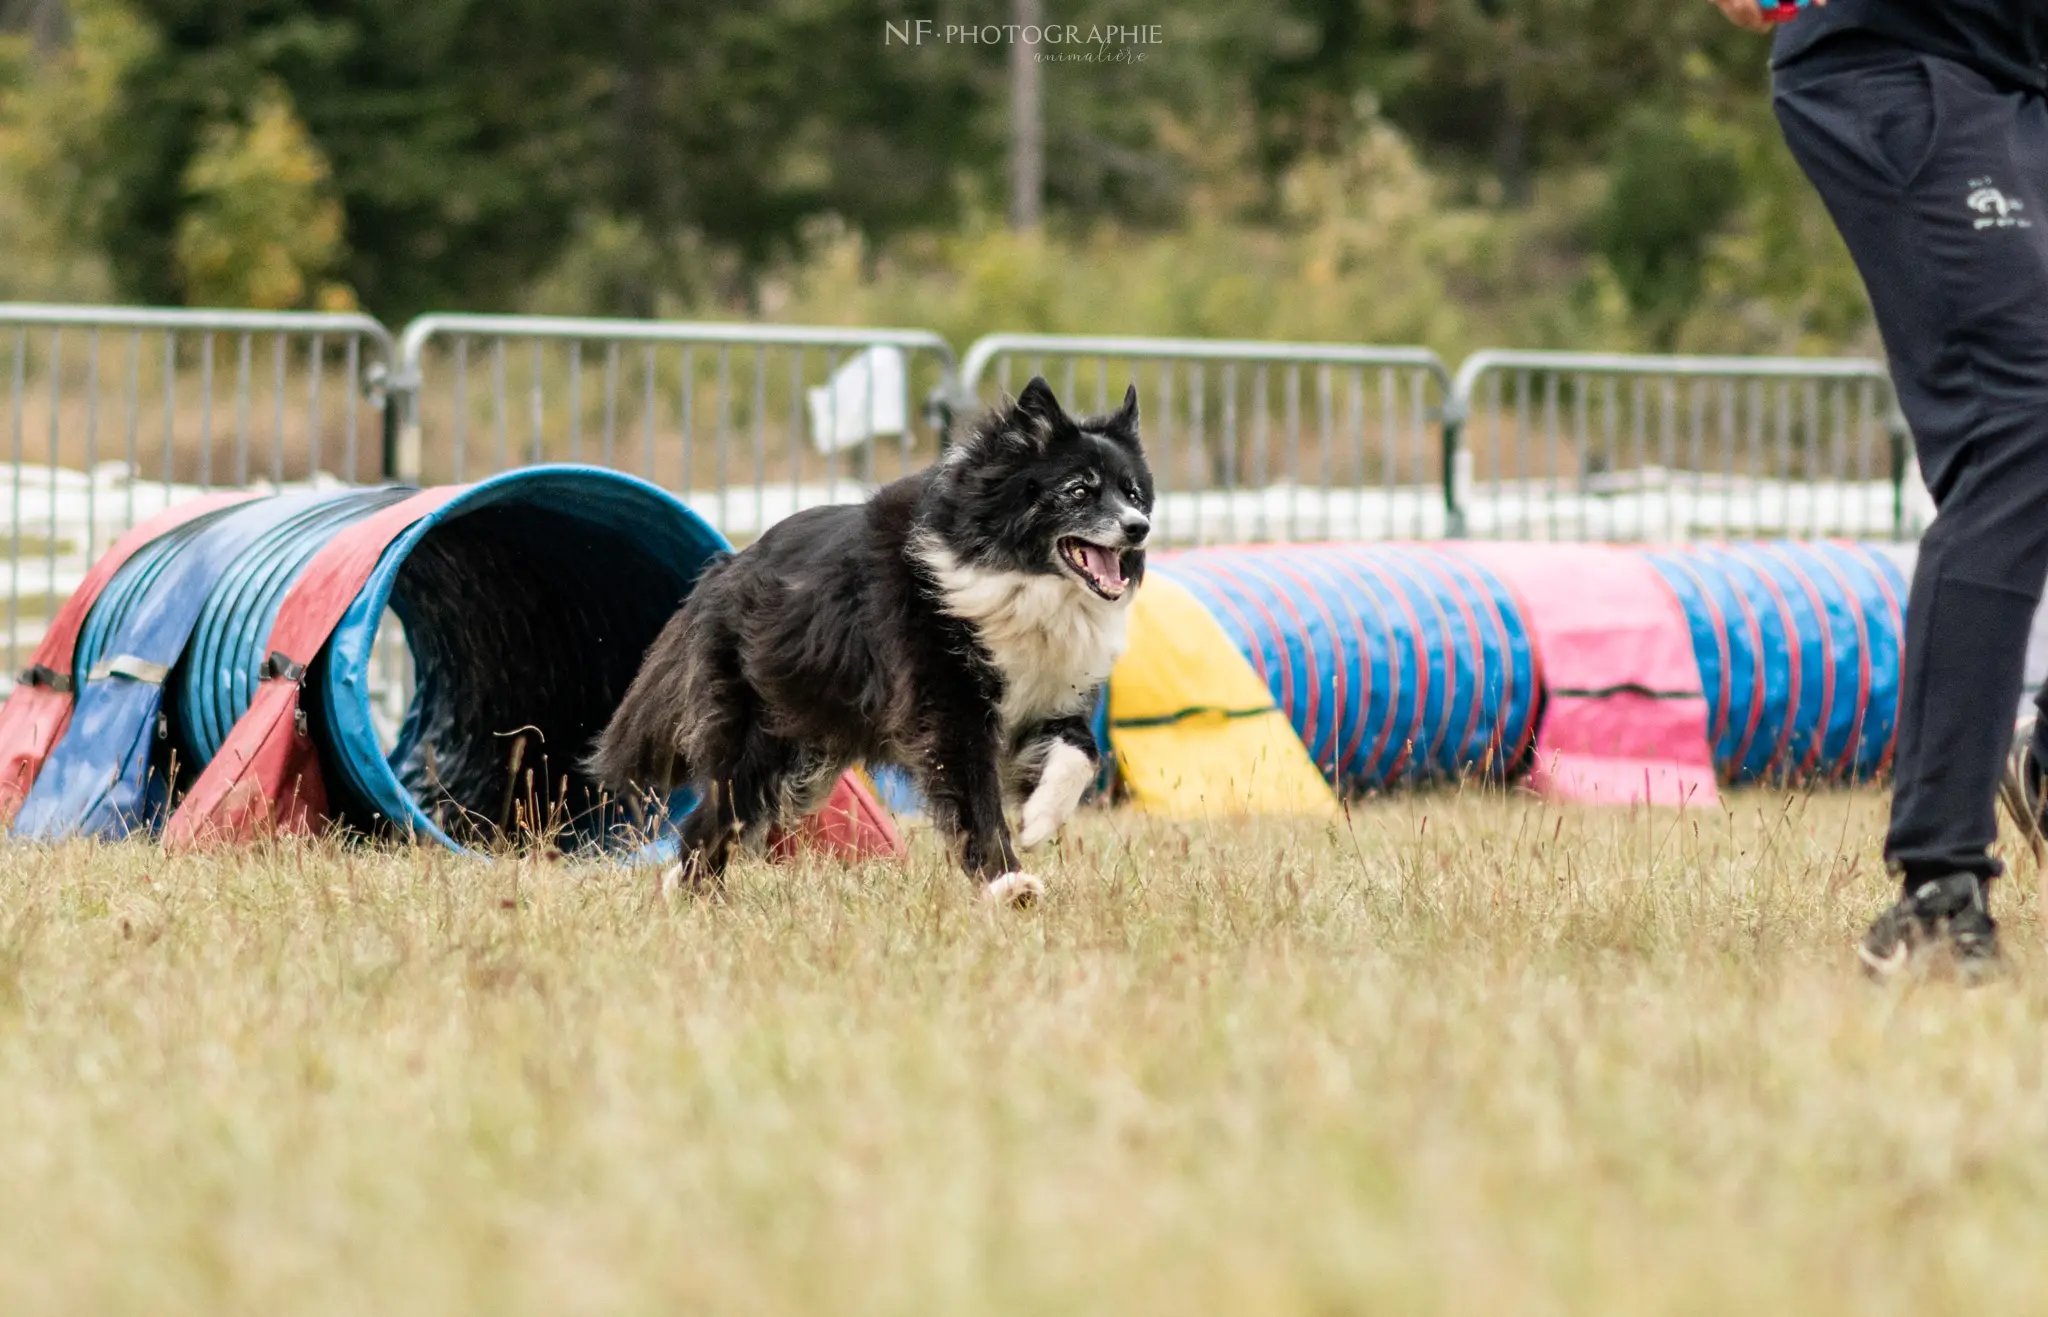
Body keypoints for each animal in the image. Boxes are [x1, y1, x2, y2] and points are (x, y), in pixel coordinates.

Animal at [593, 376, 1155, 901]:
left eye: (1133, 494)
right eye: (1079, 490)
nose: (1141, 527)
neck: (1016, 575)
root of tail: (722, 571)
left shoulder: (1046, 692)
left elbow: (1082, 752)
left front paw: (1037, 821)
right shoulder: (952, 711)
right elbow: (977, 802)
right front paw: (1008, 884)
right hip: (760, 739)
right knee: (713, 814)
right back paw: (694, 894)